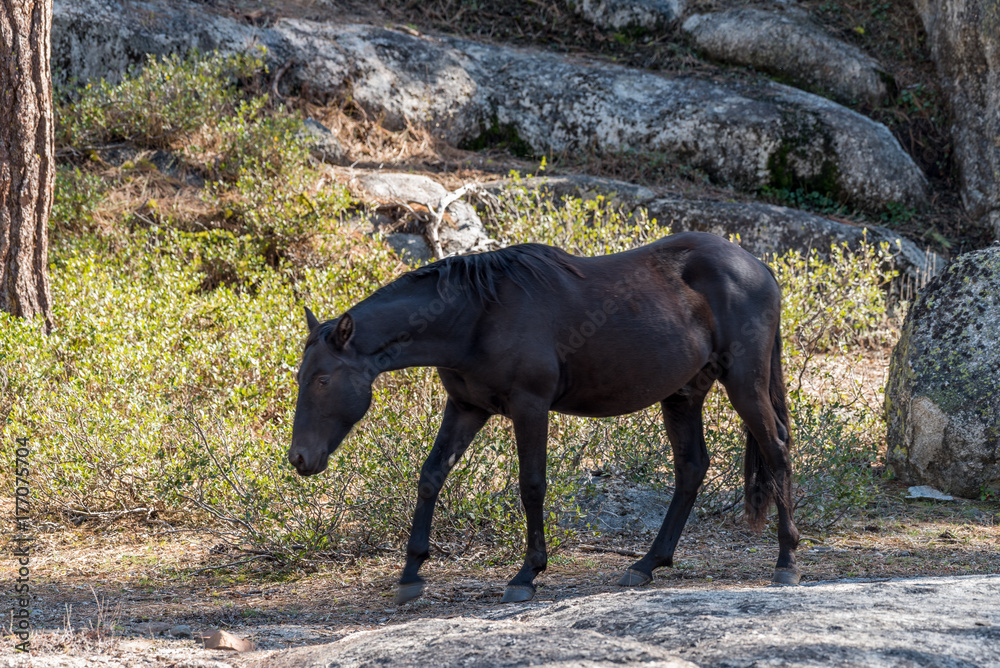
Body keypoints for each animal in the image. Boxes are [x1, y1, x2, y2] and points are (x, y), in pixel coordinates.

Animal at [286, 232, 800, 604]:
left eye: (323, 380)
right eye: (301, 377)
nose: (299, 459)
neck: (477, 314)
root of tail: (760, 268)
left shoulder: (528, 406)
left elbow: (531, 485)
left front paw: (526, 574)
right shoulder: (467, 408)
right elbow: (431, 476)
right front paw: (411, 573)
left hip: (744, 384)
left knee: (776, 450)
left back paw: (787, 561)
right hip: (682, 395)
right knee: (692, 468)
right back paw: (646, 564)